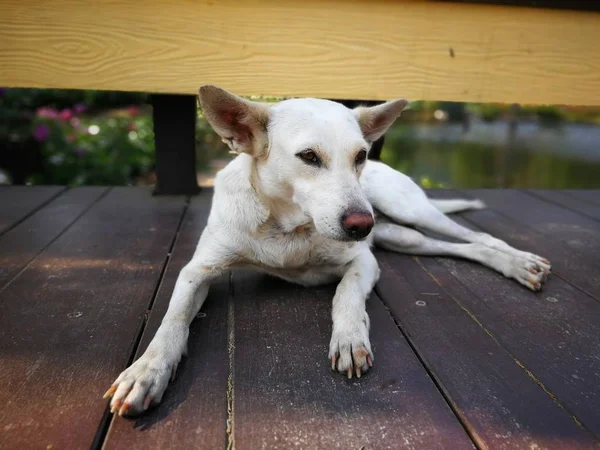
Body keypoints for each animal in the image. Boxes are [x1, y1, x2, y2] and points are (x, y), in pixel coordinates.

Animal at [102, 86, 548, 416]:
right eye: (308, 157)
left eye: (361, 155)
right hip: (401, 236)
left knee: (478, 238)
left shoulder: (363, 260)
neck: (288, 229)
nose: (362, 225)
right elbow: (172, 320)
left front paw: (350, 337)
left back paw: (519, 261)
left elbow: (345, 295)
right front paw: (147, 370)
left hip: (408, 210)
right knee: (449, 245)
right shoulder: (198, 270)